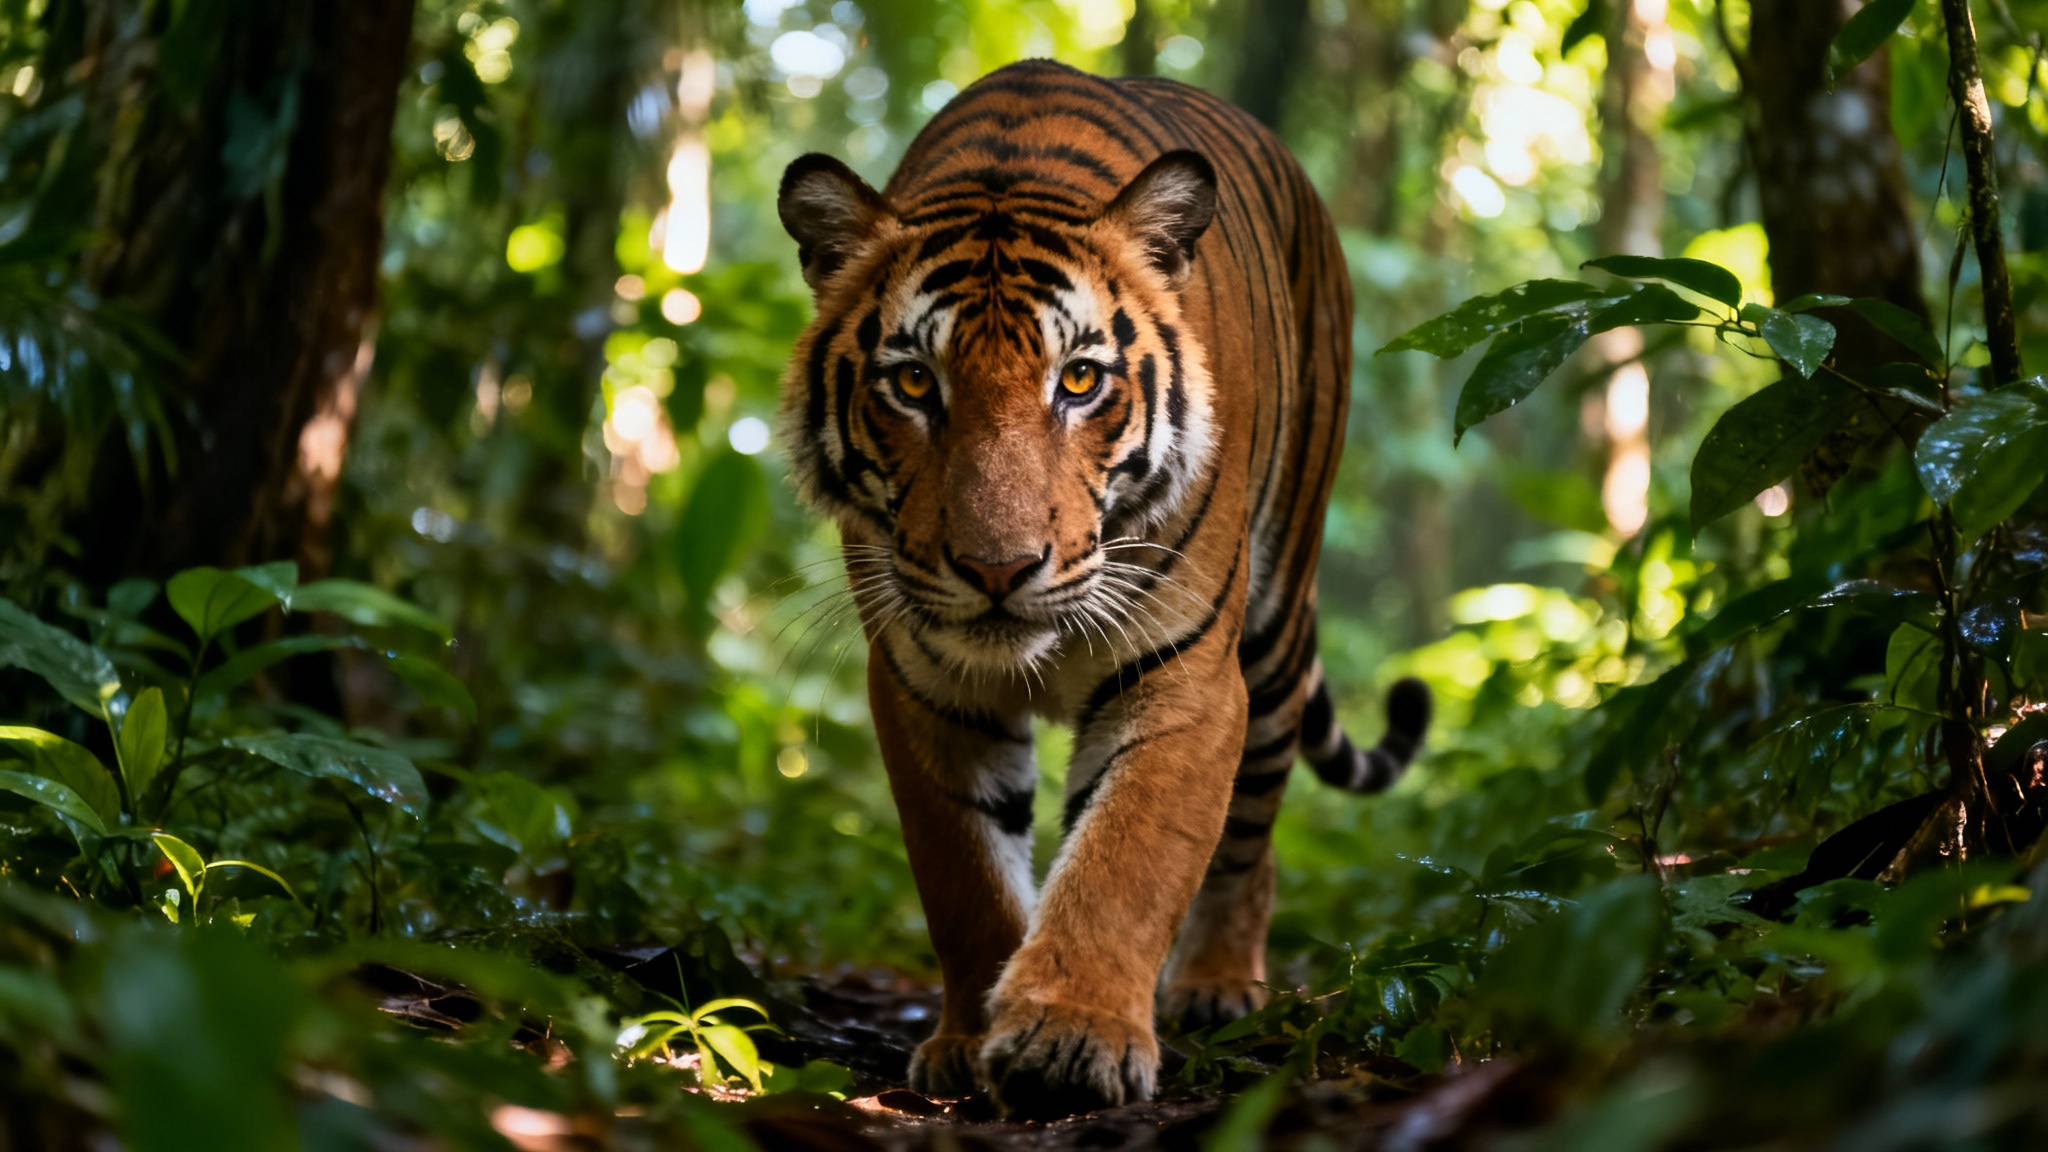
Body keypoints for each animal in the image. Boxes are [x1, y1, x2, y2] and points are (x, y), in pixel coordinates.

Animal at [775, 59, 1430, 1118]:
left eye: (1079, 381)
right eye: (913, 385)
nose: (997, 569)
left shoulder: (1184, 674)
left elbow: (1127, 856)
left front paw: (1070, 1038)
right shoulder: (923, 685)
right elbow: (967, 875)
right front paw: (971, 1039)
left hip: (1274, 629)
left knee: (1252, 832)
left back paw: (1217, 986)